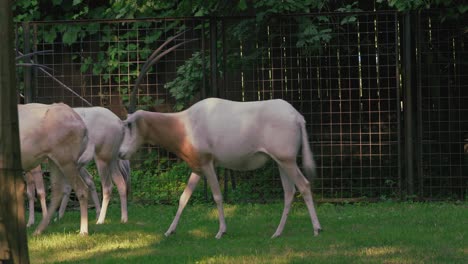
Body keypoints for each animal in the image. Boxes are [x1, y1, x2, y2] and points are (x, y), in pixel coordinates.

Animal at [119, 97, 322, 239]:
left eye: (129, 125)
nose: (121, 153)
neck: (185, 124)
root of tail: (297, 117)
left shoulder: (208, 164)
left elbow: (217, 196)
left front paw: (221, 232)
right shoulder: (198, 168)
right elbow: (183, 198)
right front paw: (170, 231)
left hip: (287, 160)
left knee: (304, 185)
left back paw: (317, 229)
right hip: (281, 162)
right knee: (289, 192)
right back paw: (277, 233)